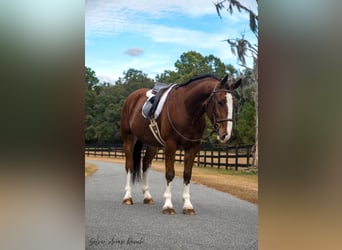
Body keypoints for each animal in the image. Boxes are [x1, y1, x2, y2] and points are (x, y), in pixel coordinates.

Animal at [120, 73, 243, 215]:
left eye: (234, 103)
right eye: (220, 102)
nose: (226, 134)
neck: (186, 109)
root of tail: (132, 97)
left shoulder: (192, 147)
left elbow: (187, 174)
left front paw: (188, 206)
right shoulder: (170, 145)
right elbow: (170, 173)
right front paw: (168, 205)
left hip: (153, 144)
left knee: (145, 164)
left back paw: (147, 196)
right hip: (129, 139)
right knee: (129, 165)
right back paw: (127, 197)